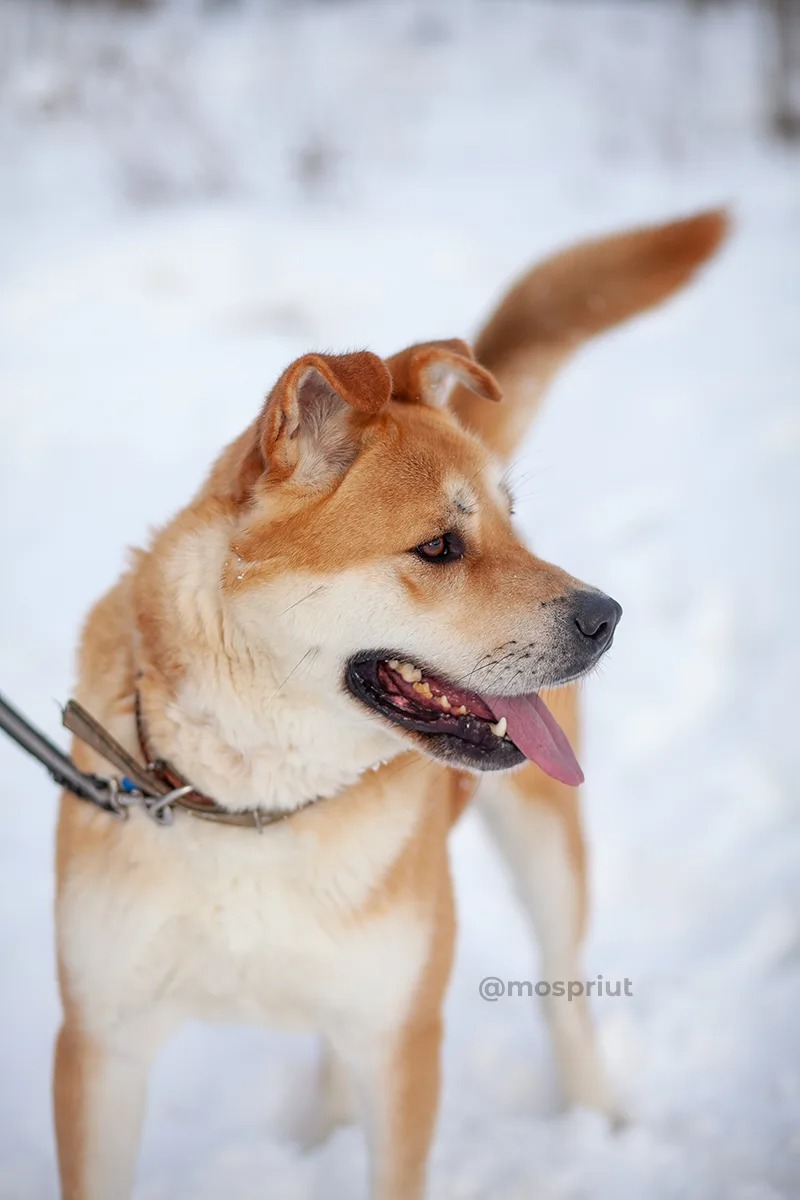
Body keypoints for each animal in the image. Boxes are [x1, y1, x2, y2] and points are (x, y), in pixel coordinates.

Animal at [53, 211, 729, 1195]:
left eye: (509, 522)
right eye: (439, 546)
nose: (606, 619)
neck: (255, 804)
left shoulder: (402, 1040)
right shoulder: (101, 1047)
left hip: (547, 852)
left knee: (564, 992)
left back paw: (597, 1120)